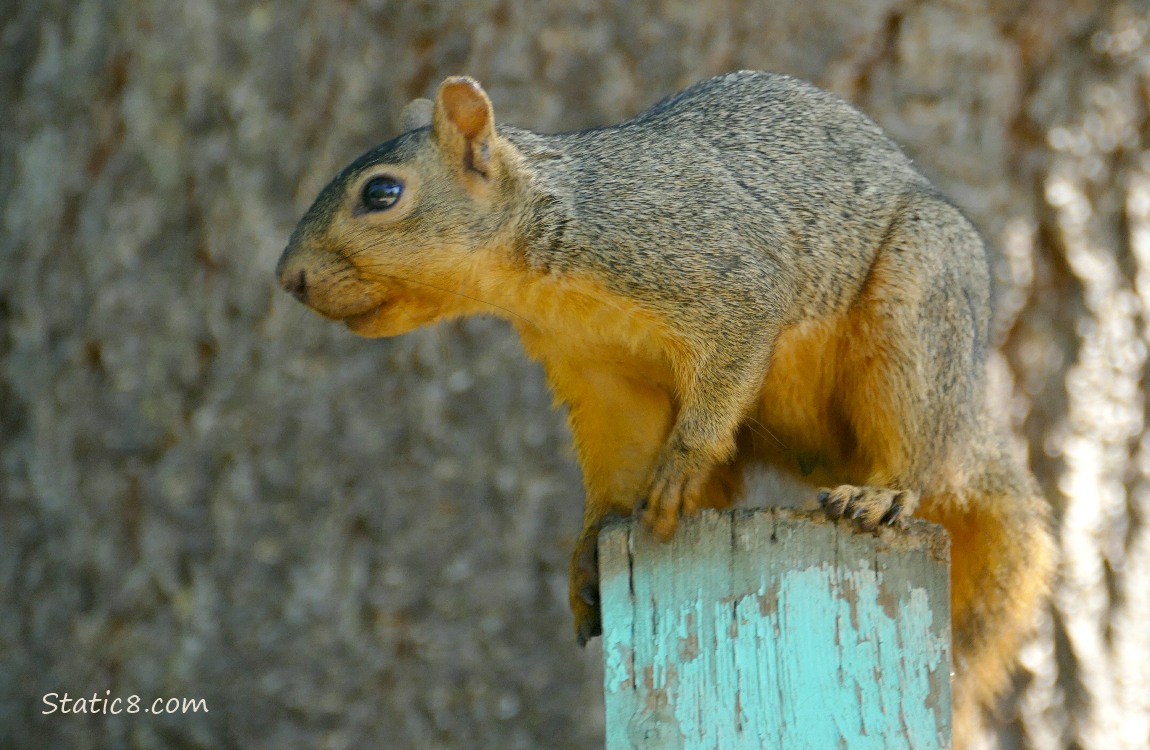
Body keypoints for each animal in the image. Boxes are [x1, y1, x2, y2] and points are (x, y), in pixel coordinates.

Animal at [276, 71, 1056, 745]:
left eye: (382, 193)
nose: (288, 280)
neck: (541, 267)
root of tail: (968, 424)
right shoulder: (599, 376)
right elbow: (620, 459)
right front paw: (592, 544)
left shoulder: (718, 273)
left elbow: (730, 356)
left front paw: (679, 465)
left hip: (921, 307)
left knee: (914, 445)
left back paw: (878, 494)